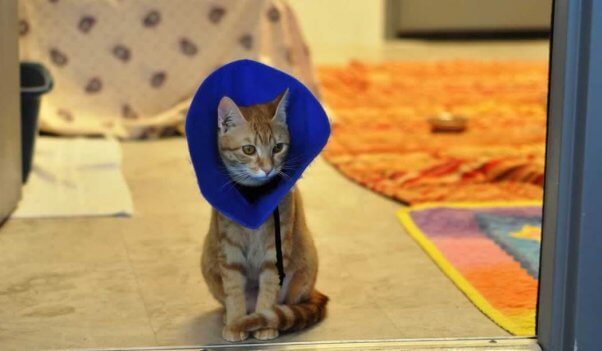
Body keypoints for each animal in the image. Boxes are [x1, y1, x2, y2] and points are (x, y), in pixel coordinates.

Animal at [200, 89, 324, 342]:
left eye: (278, 147)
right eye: (248, 149)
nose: (268, 169)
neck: (255, 197)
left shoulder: (275, 252)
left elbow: (268, 291)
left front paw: (264, 325)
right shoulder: (229, 250)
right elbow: (233, 290)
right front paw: (236, 322)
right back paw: (231, 317)